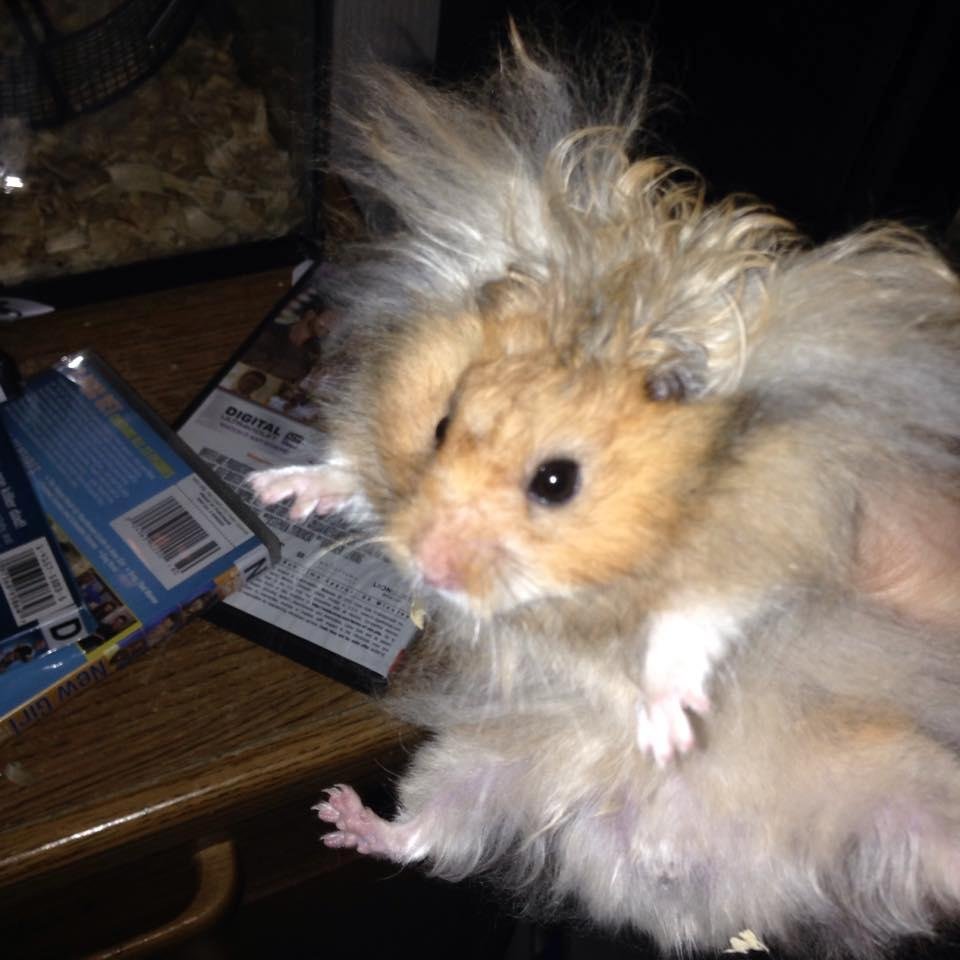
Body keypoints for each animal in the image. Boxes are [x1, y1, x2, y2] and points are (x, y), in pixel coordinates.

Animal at [251, 28, 960, 958]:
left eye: (557, 481)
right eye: (438, 426)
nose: (431, 571)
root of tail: (682, 894)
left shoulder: (787, 526)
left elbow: (696, 618)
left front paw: (666, 727)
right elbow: (354, 474)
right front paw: (276, 488)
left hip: (914, 790)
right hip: (477, 762)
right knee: (427, 835)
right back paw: (340, 816)